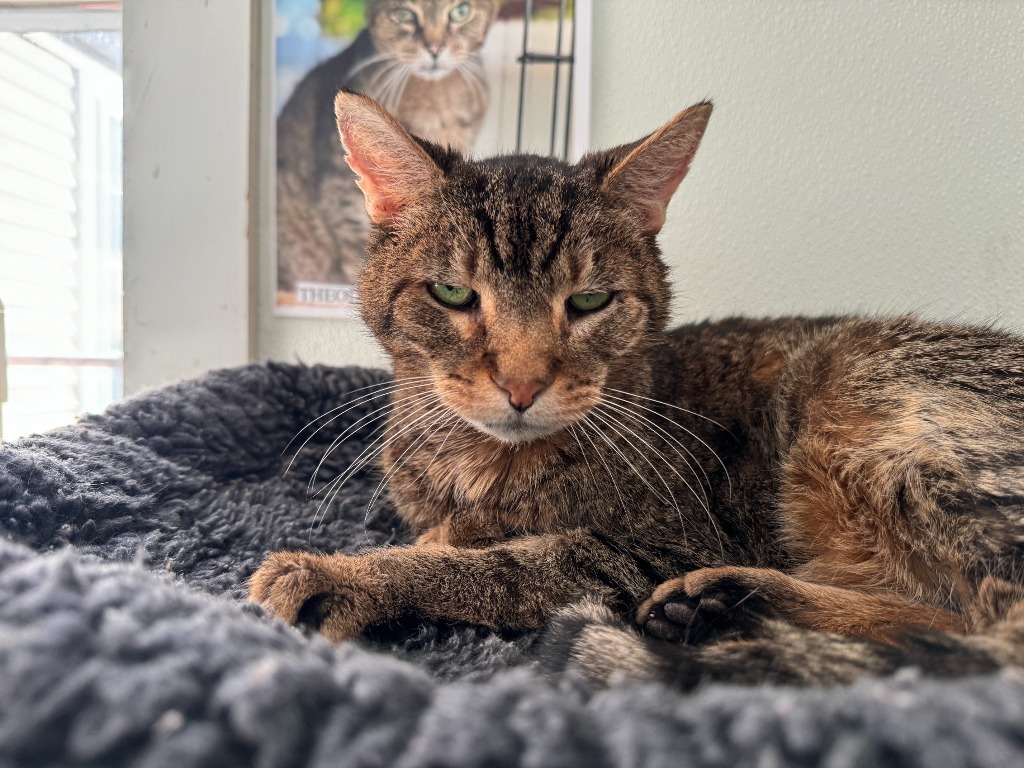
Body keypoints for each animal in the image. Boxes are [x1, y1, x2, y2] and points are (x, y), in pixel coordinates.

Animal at [249, 91, 1024, 692]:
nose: (523, 383)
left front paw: (348, 577)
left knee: (985, 634)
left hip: (866, 406)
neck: (478, 467)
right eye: (453, 294)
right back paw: (726, 604)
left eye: (590, 301)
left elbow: (504, 564)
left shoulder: (664, 542)